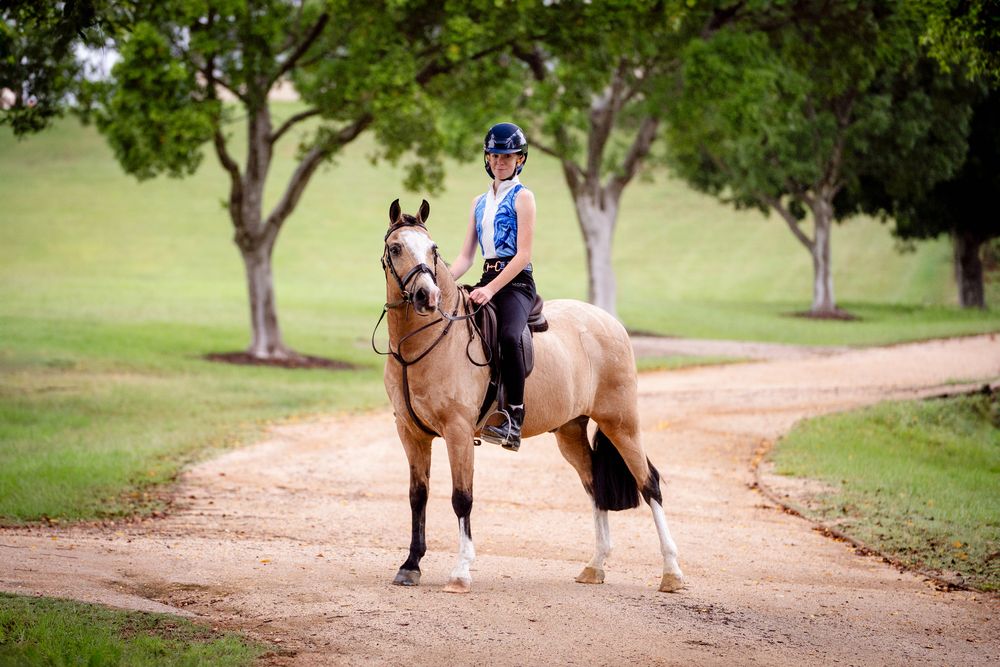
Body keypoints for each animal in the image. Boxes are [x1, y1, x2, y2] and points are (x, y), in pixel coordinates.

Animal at [377, 198, 684, 594]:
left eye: (433, 249)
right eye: (396, 248)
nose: (426, 297)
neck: (425, 343)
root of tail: (609, 322)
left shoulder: (457, 431)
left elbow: (462, 498)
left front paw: (461, 572)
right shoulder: (411, 433)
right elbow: (418, 496)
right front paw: (411, 565)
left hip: (621, 423)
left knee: (649, 484)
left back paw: (671, 572)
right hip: (570, 432)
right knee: (594, 486)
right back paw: (595, 566)